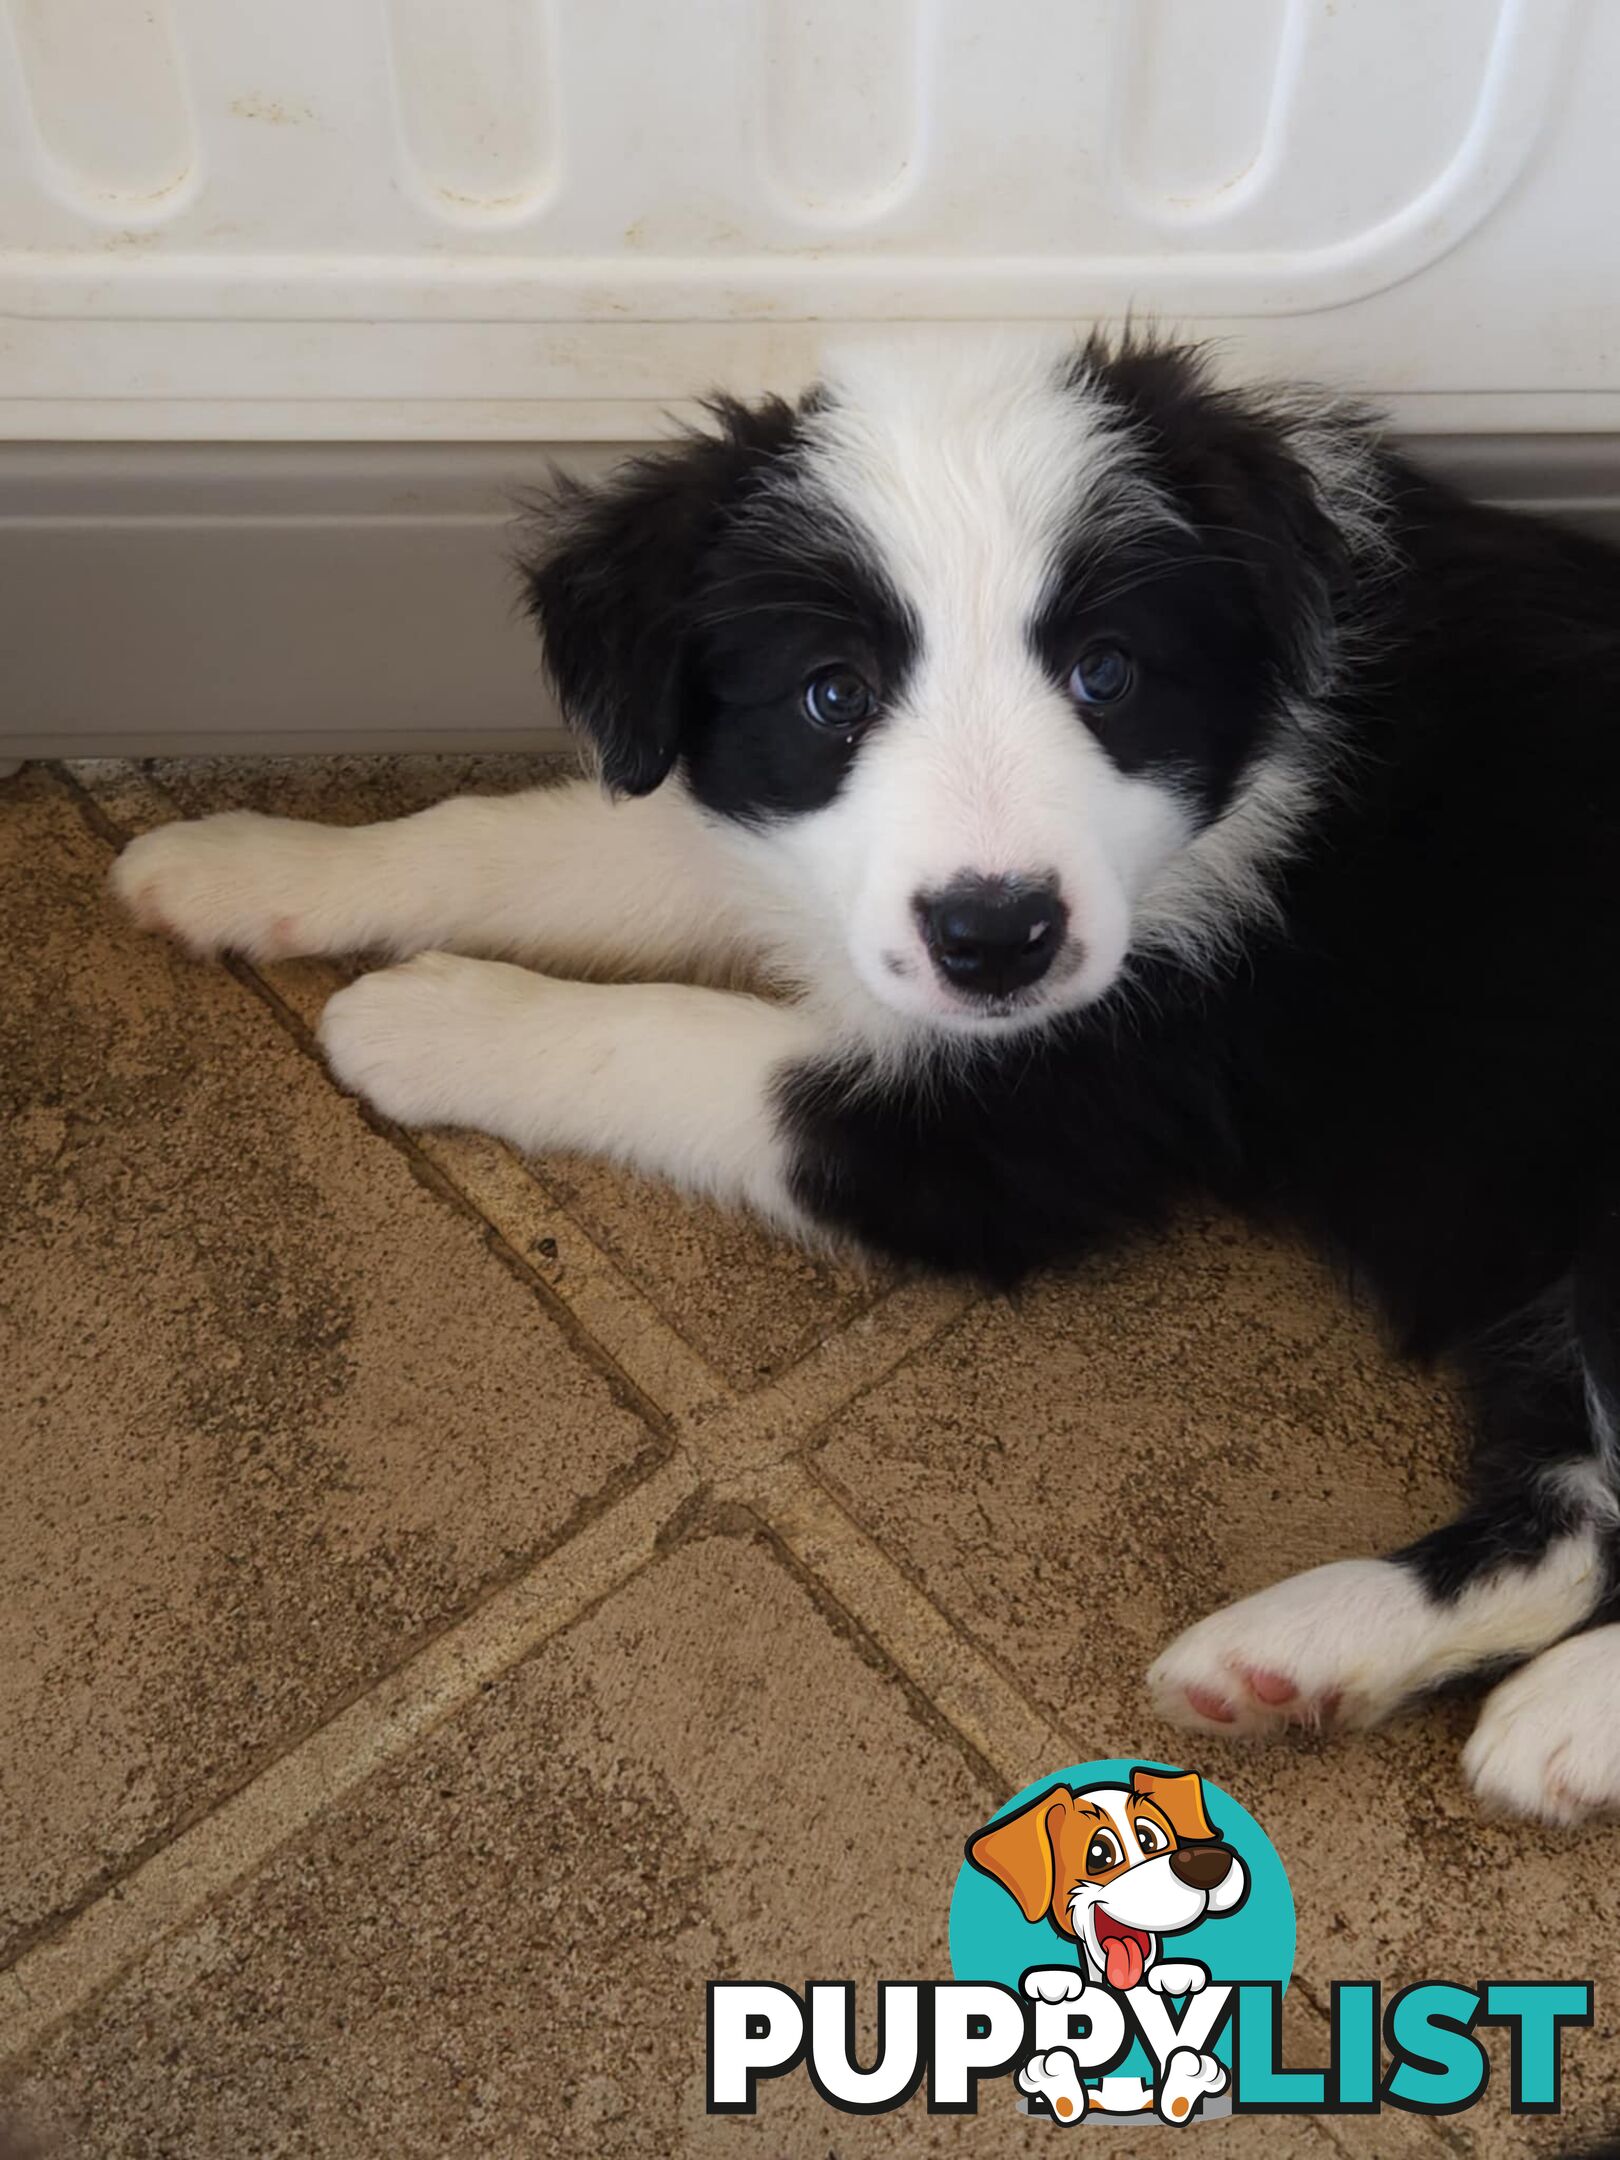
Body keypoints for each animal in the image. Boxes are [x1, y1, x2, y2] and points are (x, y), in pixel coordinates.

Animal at [114, 336, 1620, 1823]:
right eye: (834, 692)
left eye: (1109, 675)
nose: (994, 937)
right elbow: (518, 839)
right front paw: (247, 867)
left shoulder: (1014, 1123)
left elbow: (665, 1036)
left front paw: (427, 1020)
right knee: (1577, 1522)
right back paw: (1297, 1656)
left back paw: (1557, 1722)